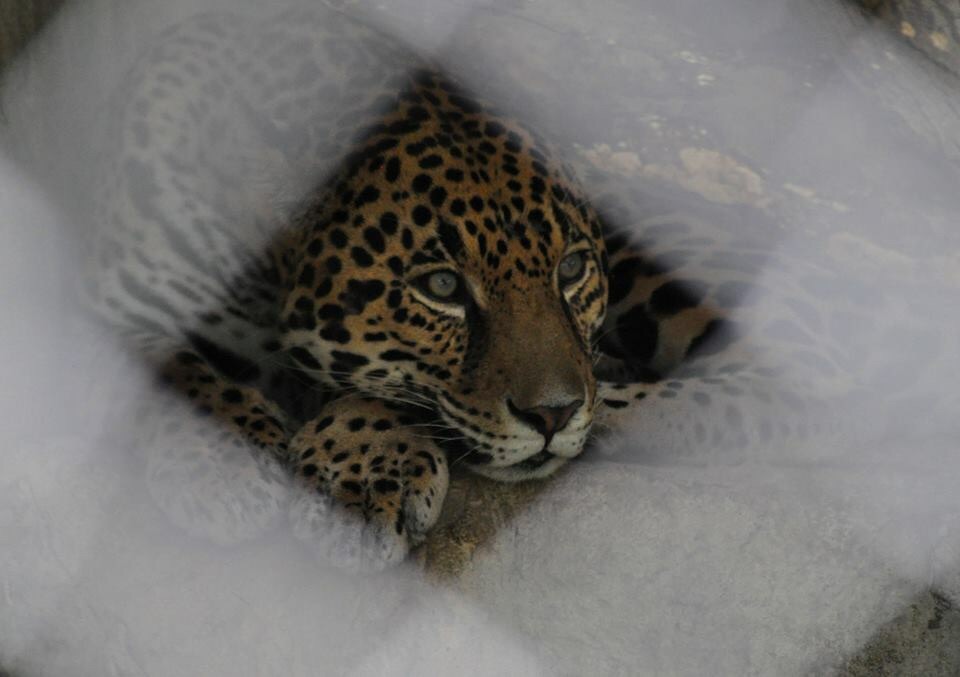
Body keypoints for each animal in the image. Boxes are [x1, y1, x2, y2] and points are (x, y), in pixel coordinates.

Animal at [87, 6, 959, 570]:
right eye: (441, 285)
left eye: (570, 269)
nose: (553, 413)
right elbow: (167, 365)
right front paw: (224, 465)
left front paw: (362, 466)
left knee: (827, 372)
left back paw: (613, 412)